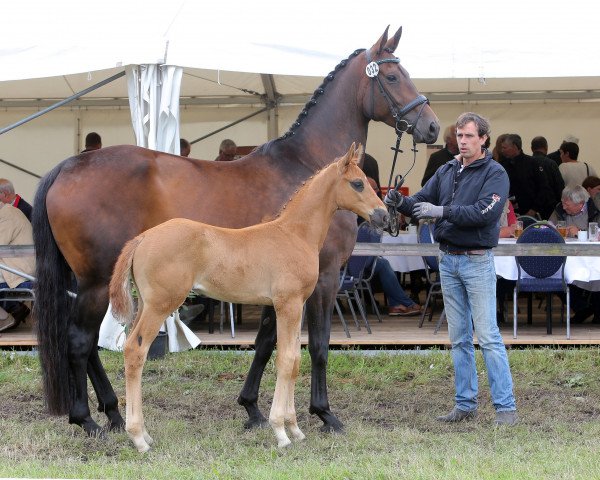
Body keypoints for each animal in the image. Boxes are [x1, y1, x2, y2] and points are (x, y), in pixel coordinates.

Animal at [32, 27, 438, 438]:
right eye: (392, 76)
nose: (432, 126)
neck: (304, 167)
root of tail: (67, 166)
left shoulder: (278, 289)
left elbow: (266, 342)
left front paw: (253, 409)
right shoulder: (323, 280)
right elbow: (318, 346)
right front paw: (324, 414)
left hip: (91, 282)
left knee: (87, 344)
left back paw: (111, 414)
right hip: (98, 281)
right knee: (81, 341)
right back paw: (90, 419)